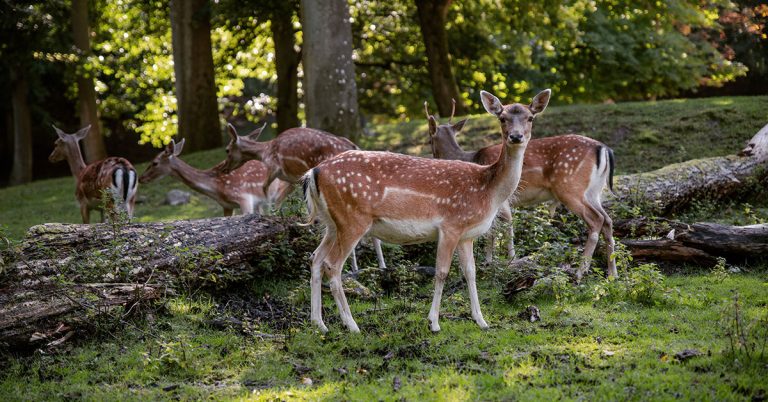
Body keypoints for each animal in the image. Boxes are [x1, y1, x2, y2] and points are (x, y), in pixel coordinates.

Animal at [223, 123, 386, 270]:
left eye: (227, 150)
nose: (224, 168)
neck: (265, 152)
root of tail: (355, 146)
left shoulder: (274, 168)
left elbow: (267, 191)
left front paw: (266, 216)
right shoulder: (292, 179)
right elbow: (281, 200)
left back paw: (355, 267)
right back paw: (381, 266)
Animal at [302, 89, 551, 333]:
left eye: (530, 117)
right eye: (502, 118)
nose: (516, 136)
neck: (487, 190)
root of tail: (313, 172)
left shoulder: (466, 234)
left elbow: (471, 272)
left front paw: (481, 321)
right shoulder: (450, 225)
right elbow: (442, 272)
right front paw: (434, 323)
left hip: (332, 223)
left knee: (315, 258)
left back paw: (319, 324)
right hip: (352, 219)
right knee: (332, 265)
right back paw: (352, 325)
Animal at [425, 99, 616, 282]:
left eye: (429, 139)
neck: (470, 158)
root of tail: (604, 149)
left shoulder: (500, 200)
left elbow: (503, 226)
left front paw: (504, 260)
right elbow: (494, 229)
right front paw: (491, 260)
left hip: (570, 187)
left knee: (596, 219)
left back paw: (579, 272)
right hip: (594, 191)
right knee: (607, 220)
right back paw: (612, 274)